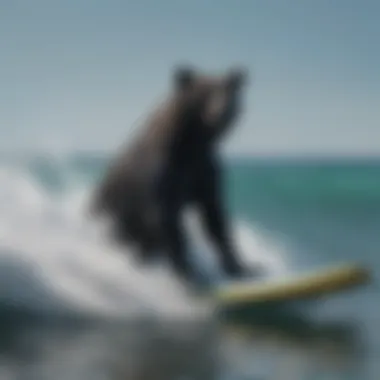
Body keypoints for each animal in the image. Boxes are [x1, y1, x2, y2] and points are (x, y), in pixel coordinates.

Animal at [90, 65, 255, 284]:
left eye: (228, 91)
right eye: (203, 93)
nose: (221, 112)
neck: (192, 145)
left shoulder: (204, 174)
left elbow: (216, 221)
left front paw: (241, 267)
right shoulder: (164, 177)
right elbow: (169, 224)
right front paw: (190, 274)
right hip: (111, 209)